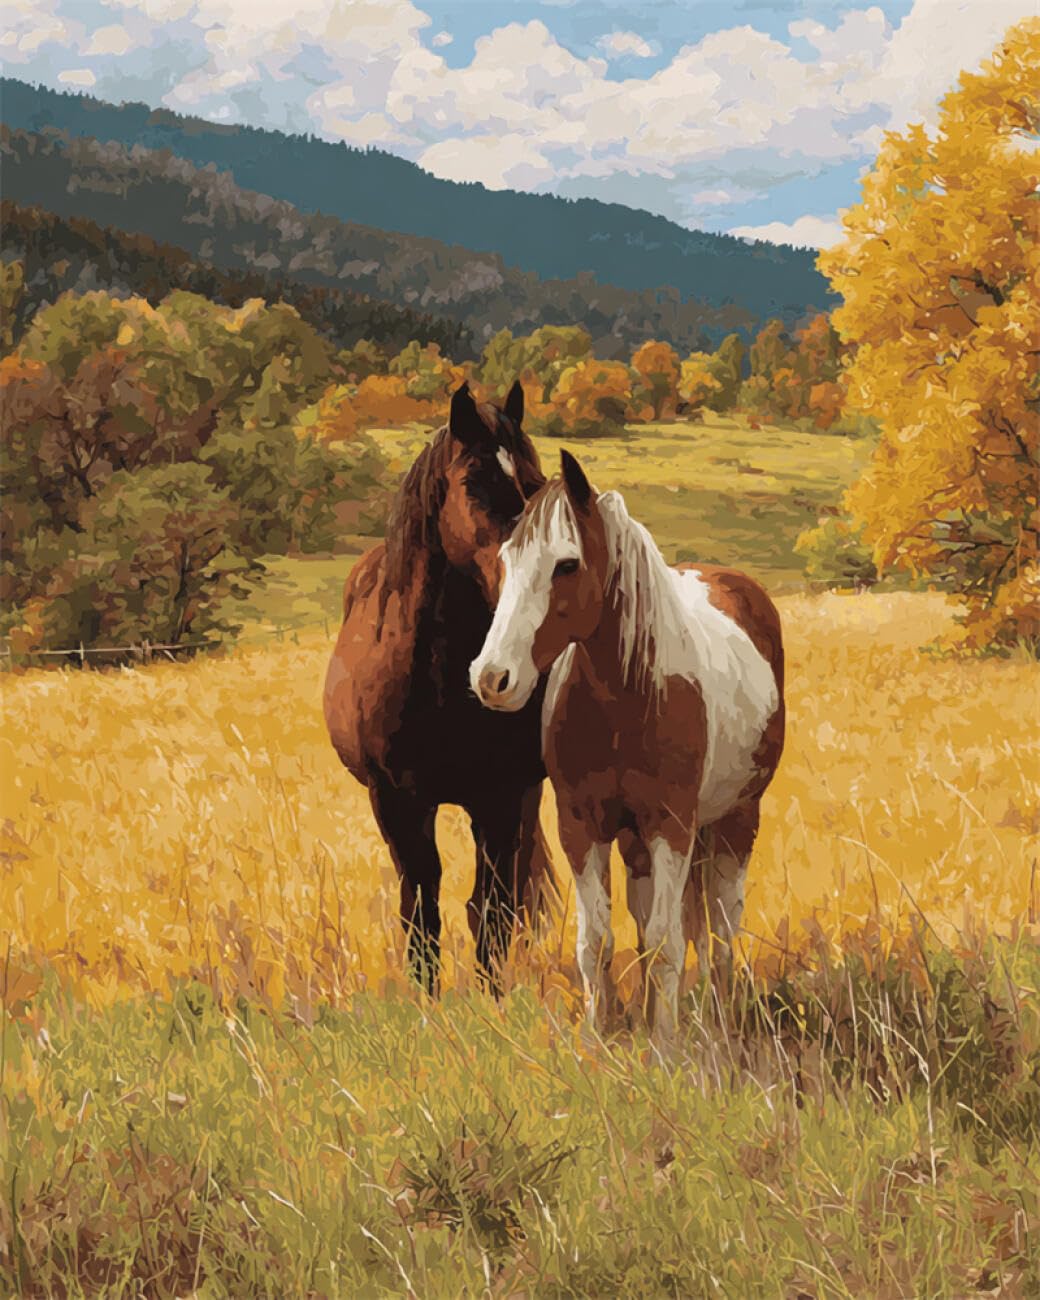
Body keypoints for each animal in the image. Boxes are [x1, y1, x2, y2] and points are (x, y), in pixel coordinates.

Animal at [323, 381, 556, 993]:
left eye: (535, 482)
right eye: (474, 482)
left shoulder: (502, 796)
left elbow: (492, 908)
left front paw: (492, 999)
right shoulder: (398, 802)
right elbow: (421, 908)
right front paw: (425, 999)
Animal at [469, 450, 785, 1055]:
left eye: (566, 564)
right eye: (506, 558)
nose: (492, 678)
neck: (629, 695)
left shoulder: (673, 826)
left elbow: (668, 941)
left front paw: (665, 1044)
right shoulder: (580, 826)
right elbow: (598, 941)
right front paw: (602, 1038)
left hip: (738, 819)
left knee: (722, 927)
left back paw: (720, 1017)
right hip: (640, 839)